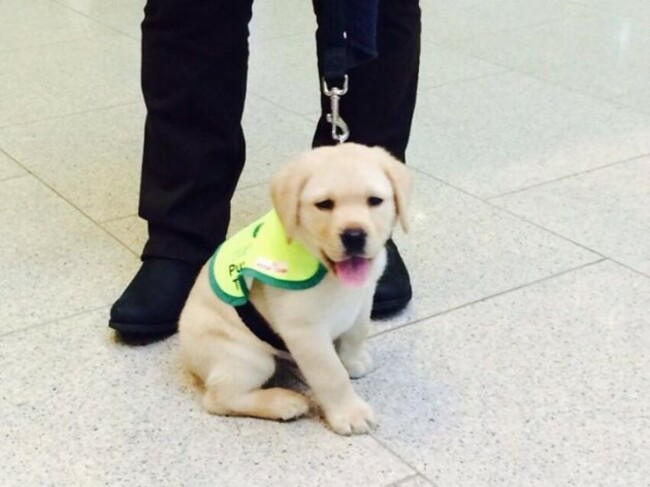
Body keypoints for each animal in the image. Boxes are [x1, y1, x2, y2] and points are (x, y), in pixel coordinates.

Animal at [178, 142, 410, 434]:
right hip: (245, 356)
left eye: (375, 201)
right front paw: (349, 412)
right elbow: (331, 374)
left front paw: (353, 359)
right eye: (324, 204)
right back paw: (283, 402)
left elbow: (357, 332)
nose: (354, 236)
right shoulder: (305, 332)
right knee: (219, 398)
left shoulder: (363, 299)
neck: (328, 273)